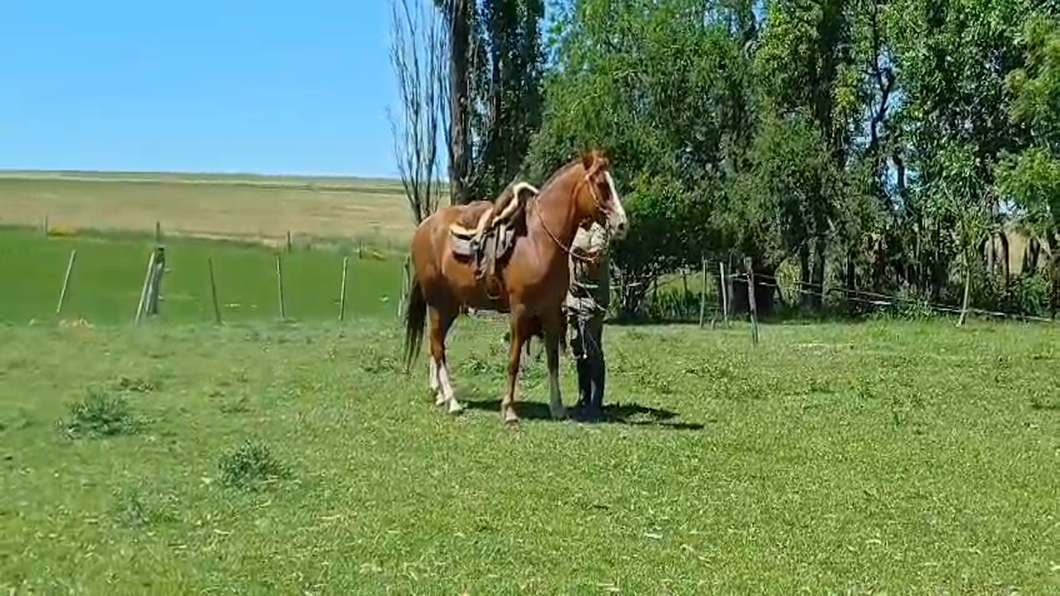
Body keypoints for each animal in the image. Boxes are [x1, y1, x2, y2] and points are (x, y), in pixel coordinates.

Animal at [400, 148, 623, 422]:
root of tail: (423, 228)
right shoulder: (520, 310)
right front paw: (508, 410)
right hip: (437, 303)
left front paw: (557, 408)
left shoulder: (550, 311)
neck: (538, 241)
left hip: (450, 306)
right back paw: (452, 401)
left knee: (437, 344)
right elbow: (514, 360)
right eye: (601, 184)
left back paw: (441, 395)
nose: (622, 224)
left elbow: (552, 360)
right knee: (436, 346)